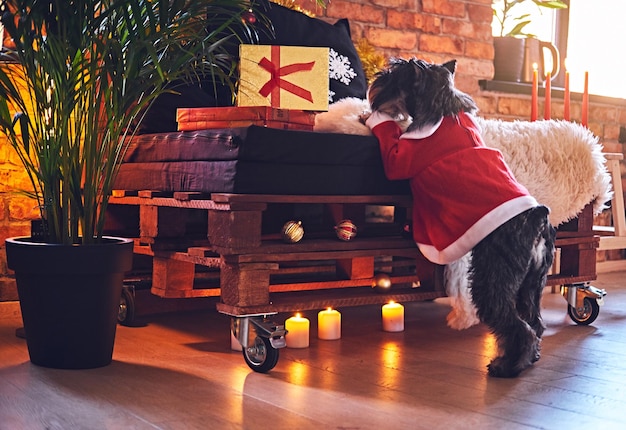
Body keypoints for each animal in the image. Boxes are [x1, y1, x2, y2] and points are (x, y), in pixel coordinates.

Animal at [364, 58, 552, 376]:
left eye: (391, 75)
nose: (374, 84)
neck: (442, 108)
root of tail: (537, 220)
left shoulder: (401, 158)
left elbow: (391, 142)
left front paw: (370, 117)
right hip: (532, 283)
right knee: (535, 321)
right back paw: (532, 356)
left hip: (493, 278)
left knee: (517, 326)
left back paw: (507, 365)